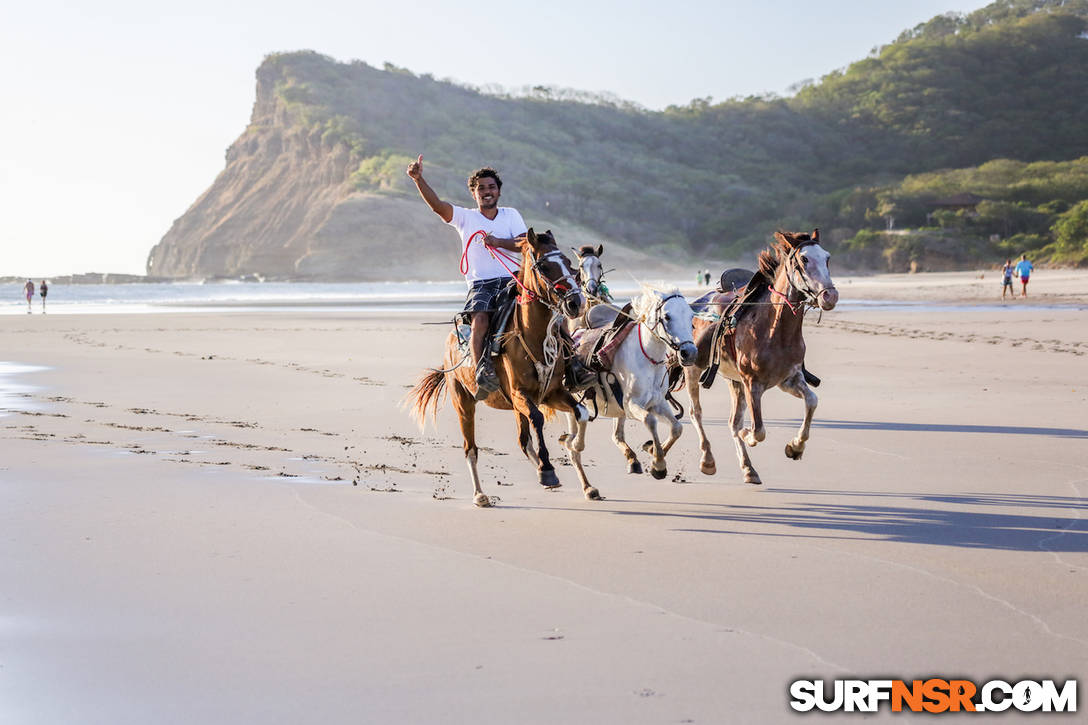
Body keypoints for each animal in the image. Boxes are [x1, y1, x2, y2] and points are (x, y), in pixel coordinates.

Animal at [406, 228, 600, 505]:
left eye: (568, 262)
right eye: (544, 265)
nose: (576, 302)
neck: (534, 335)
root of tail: (450, 343)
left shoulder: (551, 393)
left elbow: (581, 412)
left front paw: (572, 448)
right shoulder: (520, 394)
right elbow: (538, 419)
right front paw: (548, 469)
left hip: (515, 407)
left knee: (523, 441)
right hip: (464, 403)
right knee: (471, 449)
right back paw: (480, 494)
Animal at [561, 285, 696, 476]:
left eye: (691, 316)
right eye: (667, 316)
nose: (689, 353)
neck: (647, 360)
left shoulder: (658, 402)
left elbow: (677, 428)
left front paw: (654, 450)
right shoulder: (631, 405)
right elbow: (650, 420)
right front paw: (658, 464)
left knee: (617, 435)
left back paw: (633, 460)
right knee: (575, 438)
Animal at [683, 228, 835, 483]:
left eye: (827, 258)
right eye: (804, 259)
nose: (830, 296)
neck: (775, 328)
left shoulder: (788, 379)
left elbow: (812, 401)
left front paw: (796, 447)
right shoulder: (752, 383)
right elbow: (758, 430)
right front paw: (750, 435)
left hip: (733, 380)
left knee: (732, 421)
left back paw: (748, 468)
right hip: (693, 370)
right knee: (697, 413)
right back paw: (708, 460)